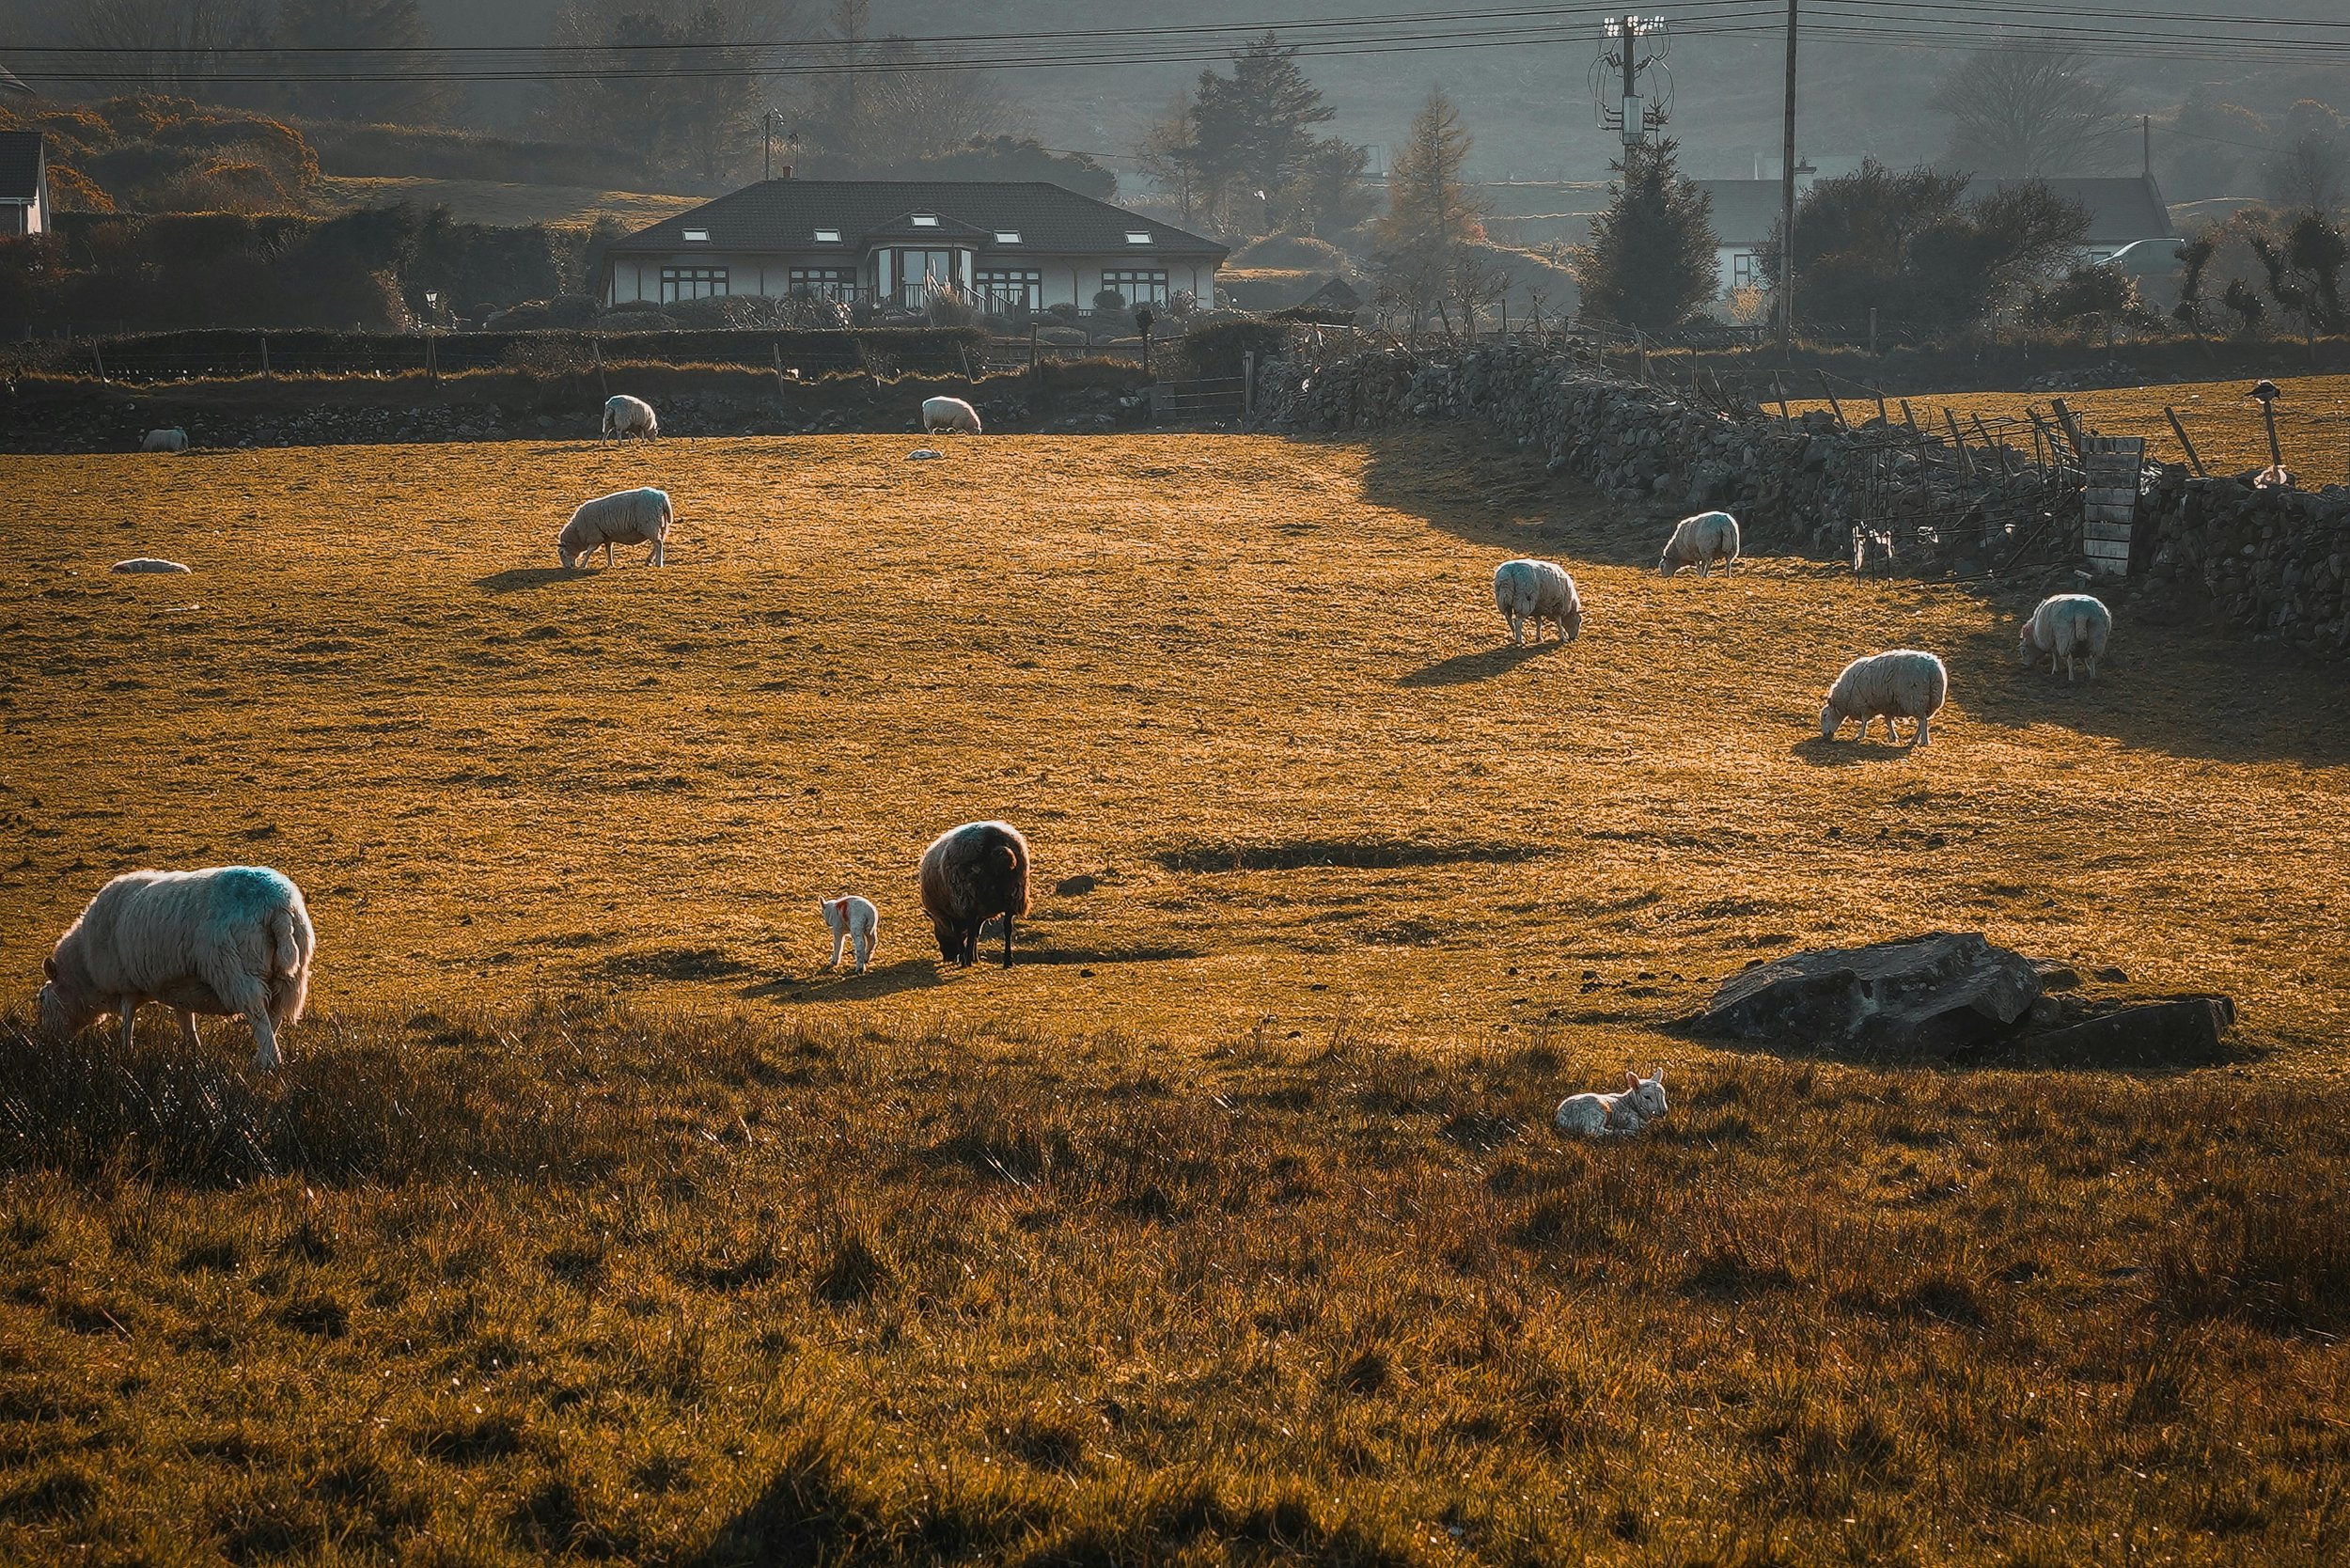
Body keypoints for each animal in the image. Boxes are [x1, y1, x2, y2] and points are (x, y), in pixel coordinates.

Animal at [37, 866, 314, 1071]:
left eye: (41, 999)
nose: (47, 1043)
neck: (84, 970)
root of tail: (278, 905)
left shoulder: (125, 984)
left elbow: (128, 1020)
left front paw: (126, 1051)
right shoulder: (178, 986)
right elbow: (185, 1021)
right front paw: (195, 1052)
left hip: (235, 972)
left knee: (259, 1018)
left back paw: (266, 1063)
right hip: (290, 977)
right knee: (274, 1016)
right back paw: (262, 1057)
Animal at [919, 821, 1030, 968]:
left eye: (938, 934)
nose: (948, 958)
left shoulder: (954, 912)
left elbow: (961, 934)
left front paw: (965, 957)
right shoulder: (981, 913)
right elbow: (977, 934)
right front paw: (974, 957)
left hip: (967, 897)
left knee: (972, 930)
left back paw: (966, 962)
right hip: (1013, 895)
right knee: (1008, 928)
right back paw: (1007, 961)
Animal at [1820, 649, 1949, 747]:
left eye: (1825, 715)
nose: (1825, 736)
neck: (1845, 698)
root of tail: (1933, 671)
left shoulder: (1863, 704)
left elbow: (1865, 720)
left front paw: (1860, 735)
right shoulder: (1887, 705)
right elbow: (1888, 721)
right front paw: (1893, 737)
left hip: (1915, 699)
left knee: (1923, 721)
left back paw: (1924, 741)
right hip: (1928, 701)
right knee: (1921, 722)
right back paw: (1914, 740)